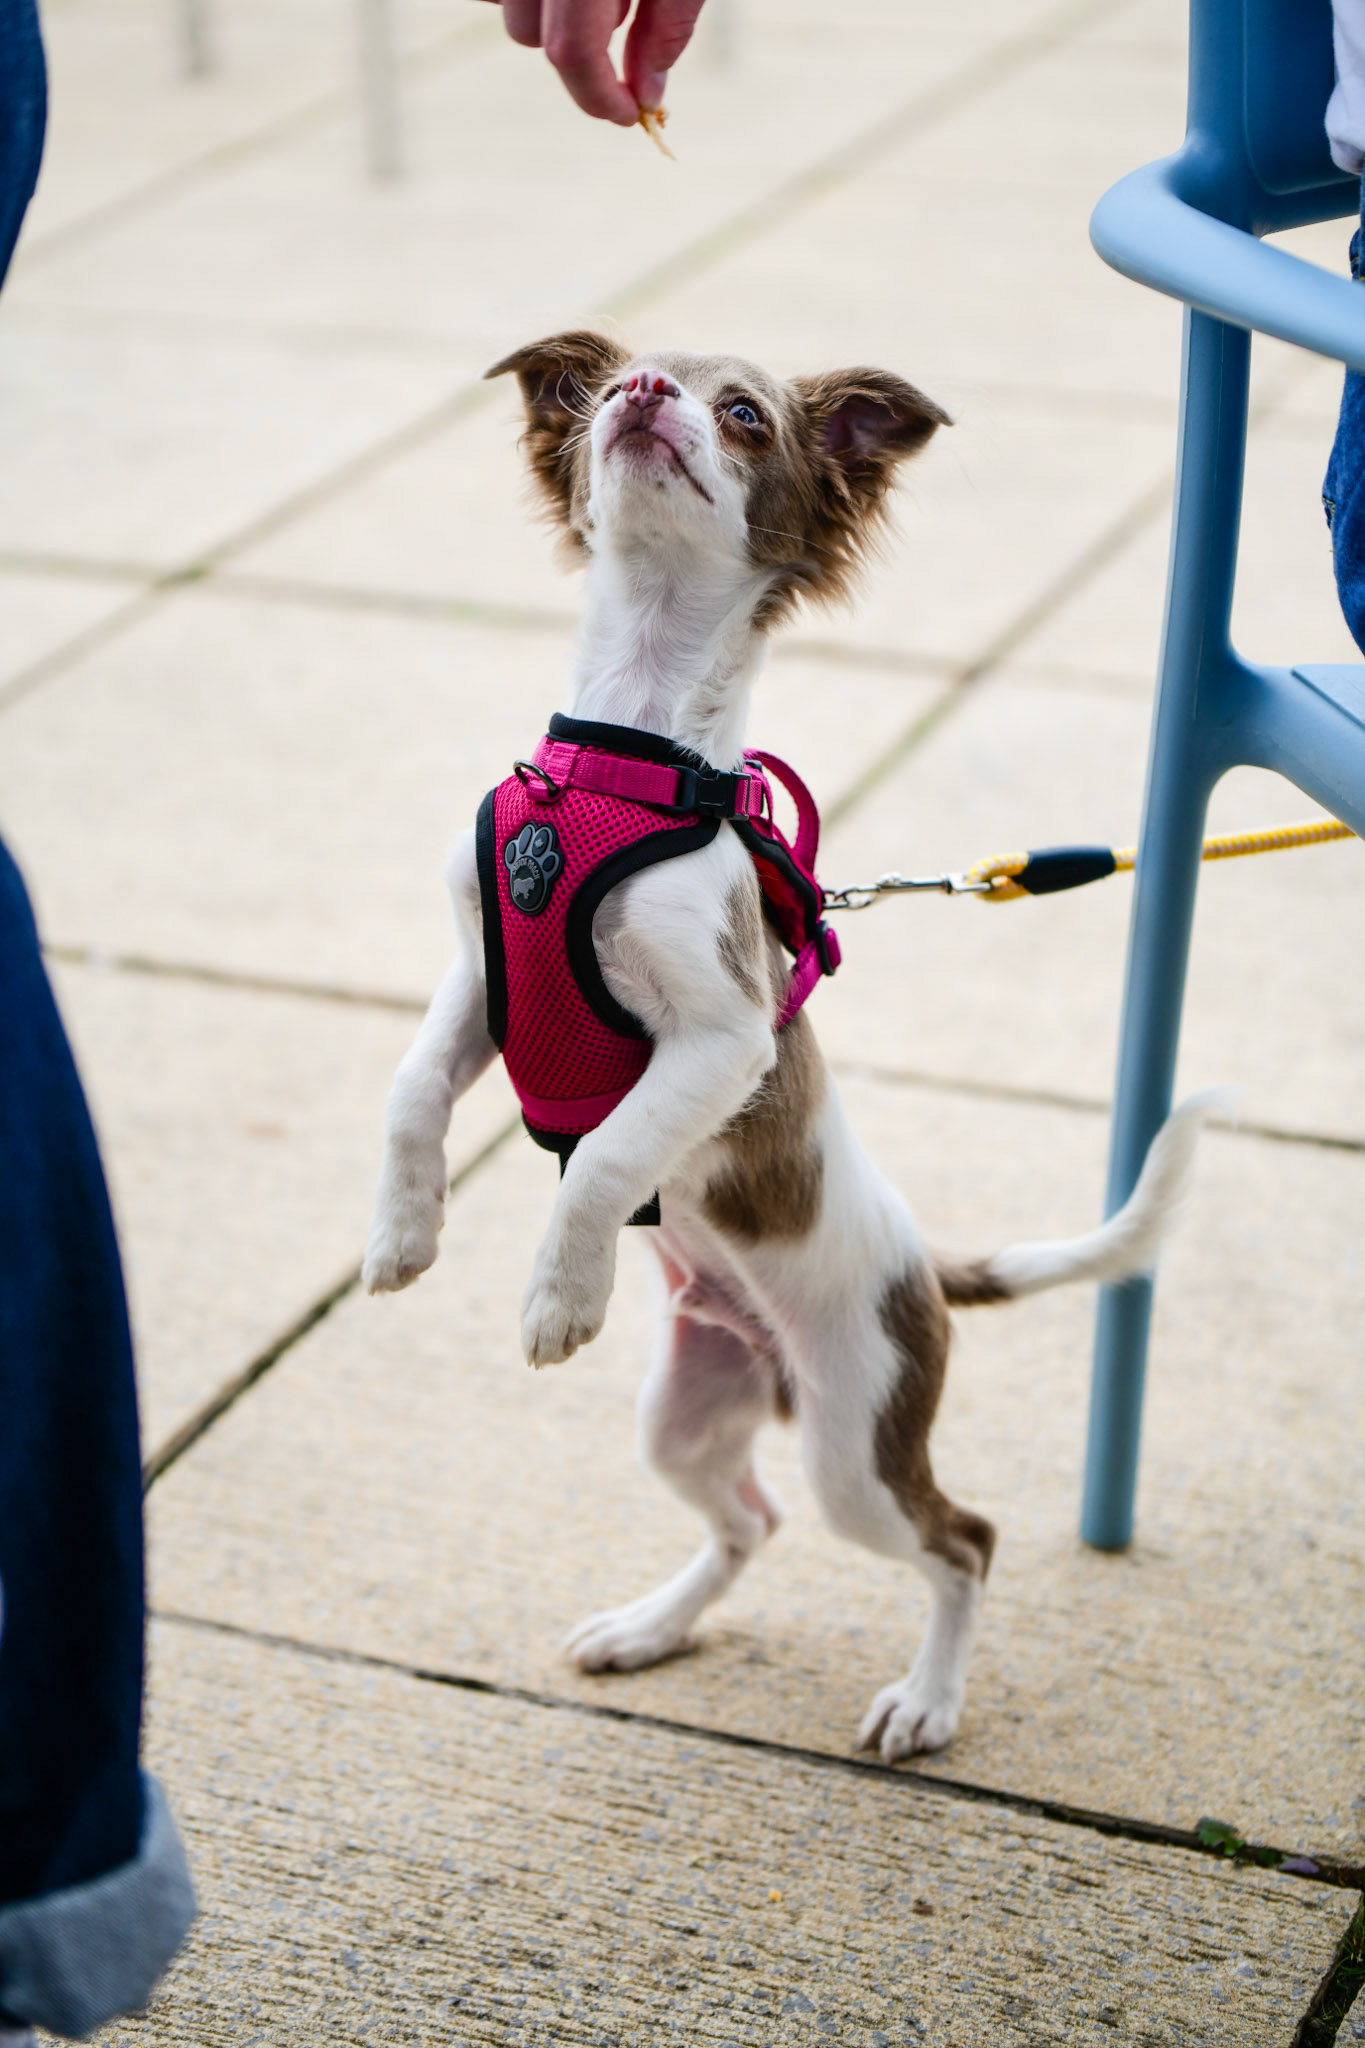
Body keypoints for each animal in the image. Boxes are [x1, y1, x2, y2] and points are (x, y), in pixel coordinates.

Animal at [362, 331, 1213, 1760]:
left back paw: (928, 1699)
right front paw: (402, 1232)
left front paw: (558, 1293)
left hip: (855, 1439)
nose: (646, 397)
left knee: (963, 1540)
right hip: (687, 1412)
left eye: (746, 414)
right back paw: (650, 1627)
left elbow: (602, 1157)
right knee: (748, 1519)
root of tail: (930, 1268)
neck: (625, 760)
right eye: (614, 388)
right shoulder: (479, 980)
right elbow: (411, 1090)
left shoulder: (721, 1042)